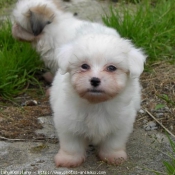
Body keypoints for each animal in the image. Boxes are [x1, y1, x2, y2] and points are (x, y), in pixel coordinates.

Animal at [50, 26, 146, 167]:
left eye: (111, 68)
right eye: (84, 66)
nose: (95, 80)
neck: (96, 104)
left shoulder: (120, 124)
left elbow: (113, 143)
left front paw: (114, 156)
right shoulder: (68, 123)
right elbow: (71, 144)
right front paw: (69, 159)